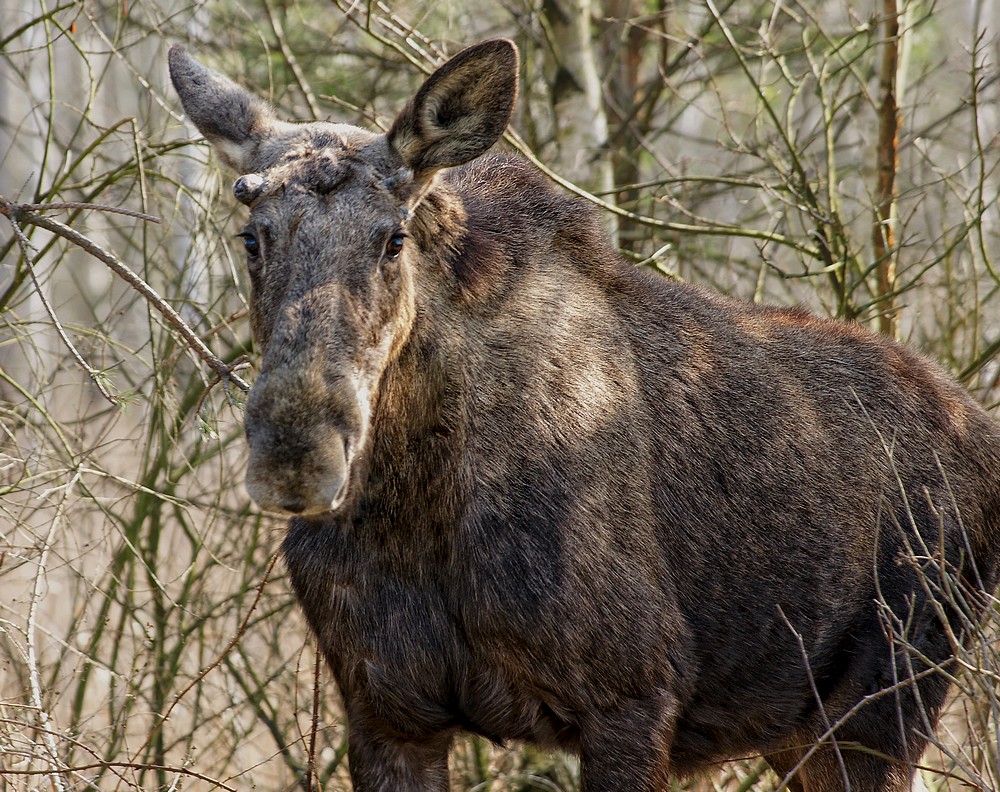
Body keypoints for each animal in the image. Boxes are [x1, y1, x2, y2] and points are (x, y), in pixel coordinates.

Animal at [170, 38, 1000, 792]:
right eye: (251, 237)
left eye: (393, 239)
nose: (295, 454)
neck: (417, 499)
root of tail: (982, 431)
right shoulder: (387, 712)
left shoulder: (631, 695)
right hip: (801, 732)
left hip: (882, 706)